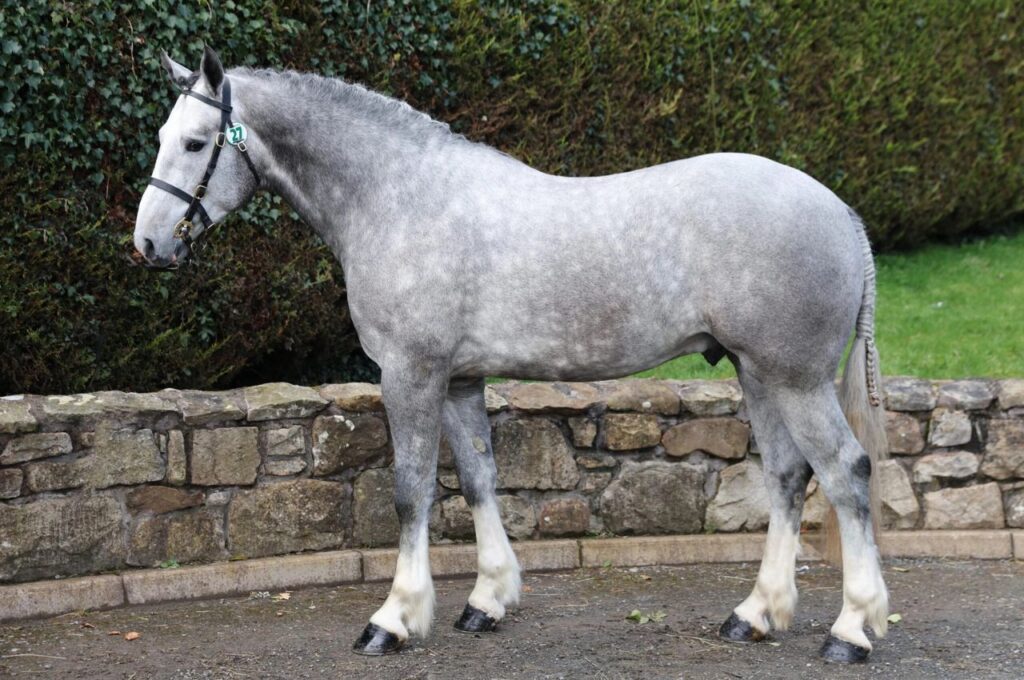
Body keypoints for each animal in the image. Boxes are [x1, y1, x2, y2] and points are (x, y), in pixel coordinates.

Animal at [135, 47, 890, 664]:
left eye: (196, 142)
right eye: (164, 137)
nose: (147, 244)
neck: (398, 196)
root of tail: (843, 213)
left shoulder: (410, 374)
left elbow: (410, 491)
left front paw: (394, 619)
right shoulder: (461, 380)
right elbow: (478, 480)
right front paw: (487, 600)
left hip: (796, 379)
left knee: (846, 472)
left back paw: (851, 630)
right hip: (757, 374)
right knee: (790, 475)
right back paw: (756, 615)